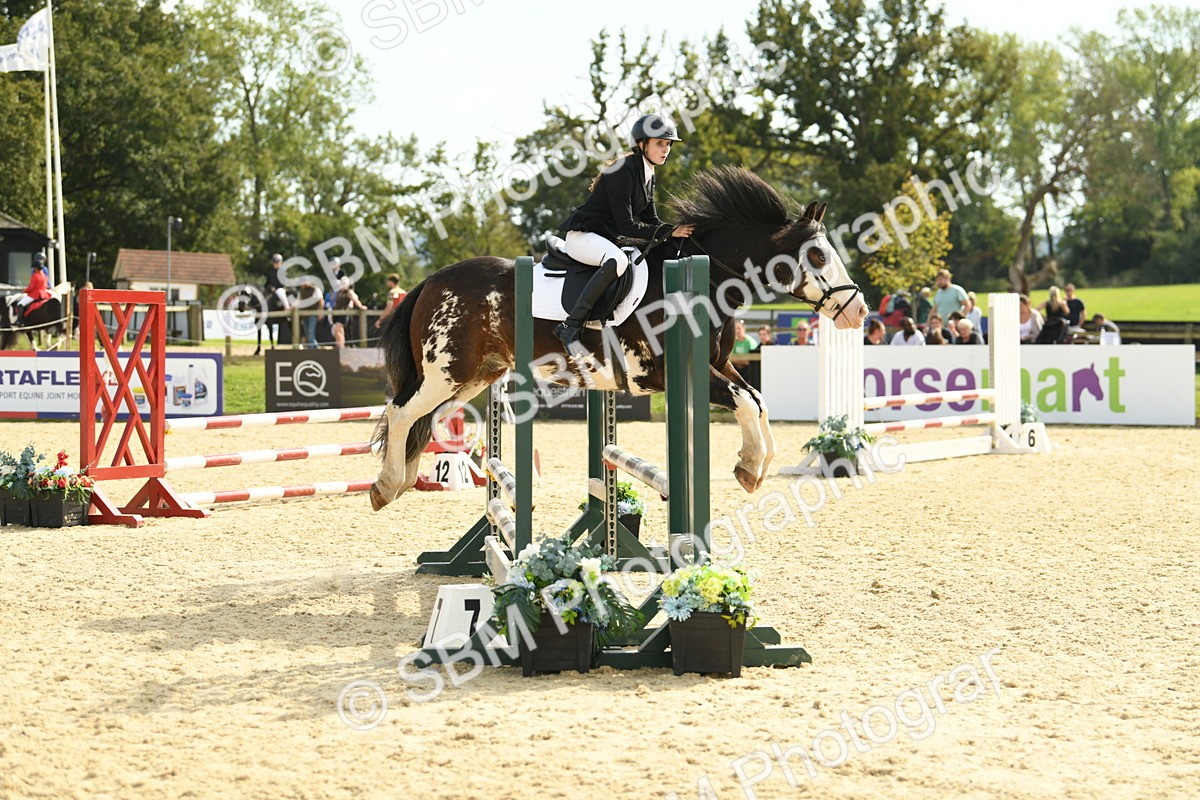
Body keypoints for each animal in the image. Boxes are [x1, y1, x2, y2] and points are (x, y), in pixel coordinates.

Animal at [368, 167, 868, 511]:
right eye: (818, 256)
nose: (859, 311)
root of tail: (430, 282)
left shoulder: (719, 364)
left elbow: (758, 401)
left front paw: (754, 464)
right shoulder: (671, 373)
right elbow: (746, 402)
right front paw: (750, 468)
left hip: (472, 377)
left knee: (421, 420)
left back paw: (402, 479)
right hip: (446, 373)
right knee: (400, 411)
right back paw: (387, 486)